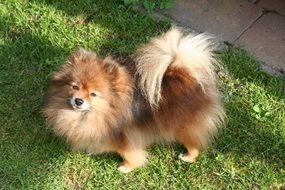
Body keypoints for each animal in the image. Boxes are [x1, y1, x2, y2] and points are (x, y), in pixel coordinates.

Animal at [42, 27, 224, 172]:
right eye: (75, 87)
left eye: (93, 94)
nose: (78, 101)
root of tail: (187, 74)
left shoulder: (128, 137)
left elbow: (130, 154)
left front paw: (126, 167)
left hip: (183, 126)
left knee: (194, 142)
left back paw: (188, 156)